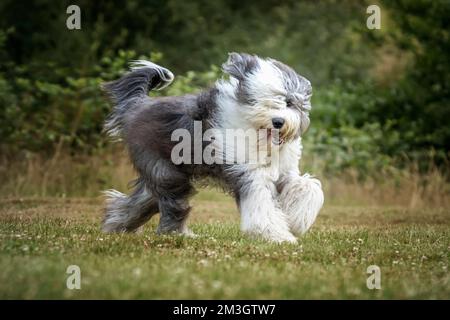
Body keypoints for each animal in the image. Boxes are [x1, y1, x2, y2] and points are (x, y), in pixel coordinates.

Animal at [101, 53, 324, 242]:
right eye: (259, 102)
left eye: (289, 102)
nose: (278, 122)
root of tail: (138, 105)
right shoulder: (249, 174)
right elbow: (261, 206)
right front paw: (277, 236)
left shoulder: (285, 171)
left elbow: (308, 187)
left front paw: (296, 220)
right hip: (166, 172)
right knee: (173, 205)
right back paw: (179, 235)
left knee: (140, 202)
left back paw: (114, 226)